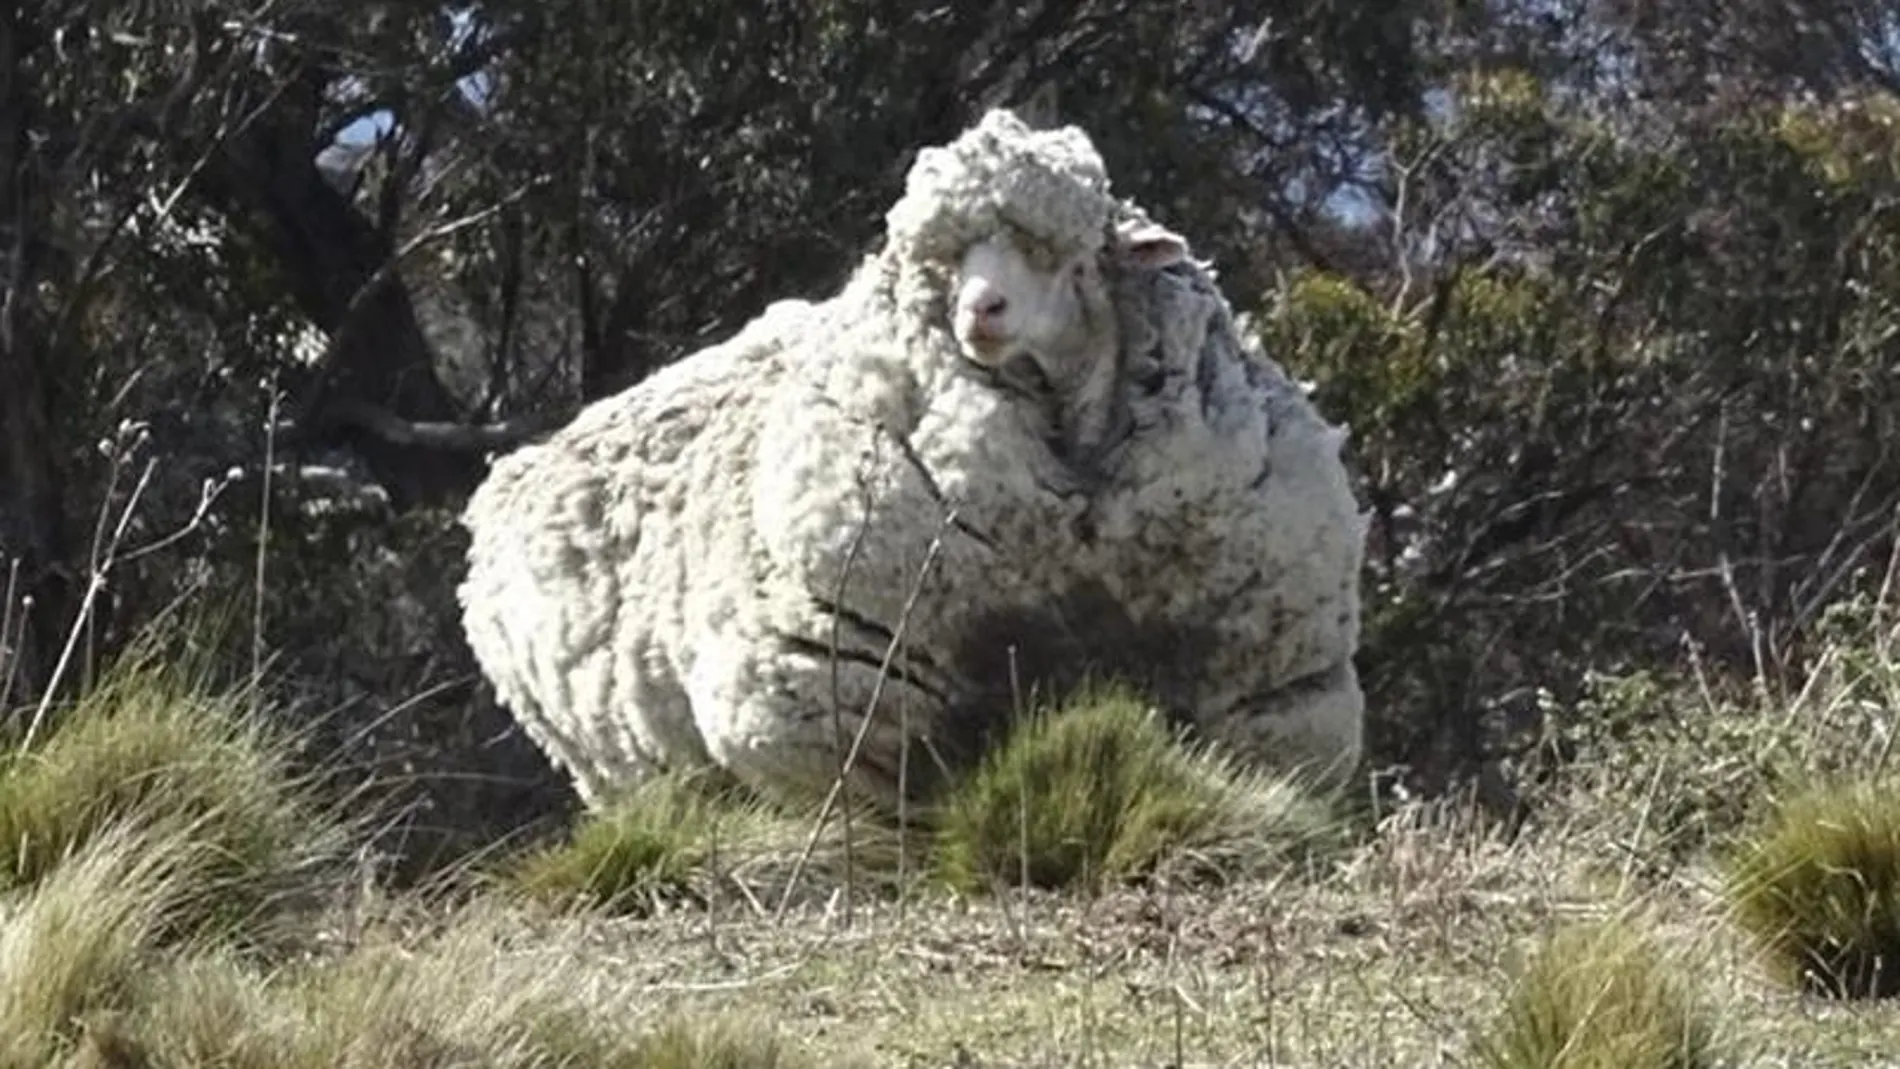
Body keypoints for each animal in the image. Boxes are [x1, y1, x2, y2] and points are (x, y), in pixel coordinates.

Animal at [458, 108, 1369, 814]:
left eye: (1061, 253)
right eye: (944, 262)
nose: (981, 311)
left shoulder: (1269, 695)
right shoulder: (839, 704)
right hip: (621, 768)